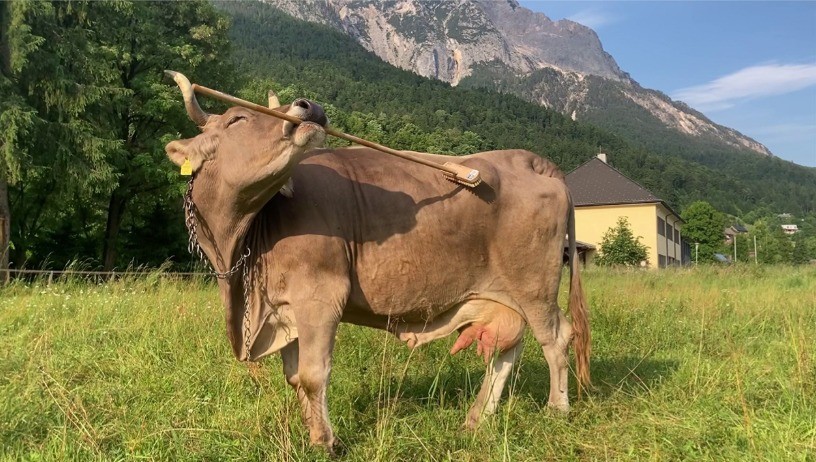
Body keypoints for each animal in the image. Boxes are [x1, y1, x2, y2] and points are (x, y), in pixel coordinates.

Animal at [164, 72, 590, 454]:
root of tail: (528, 159)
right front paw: (315, 434)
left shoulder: (320, 297)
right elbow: (295, 377)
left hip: (534, 284)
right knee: (509, 346)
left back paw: (556, 409)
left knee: (555, 337)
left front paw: (326, 442)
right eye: (236, 119)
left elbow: (313, 375)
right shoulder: (283, 308)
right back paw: (477, 418)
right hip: (504, 294)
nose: (309, 106)